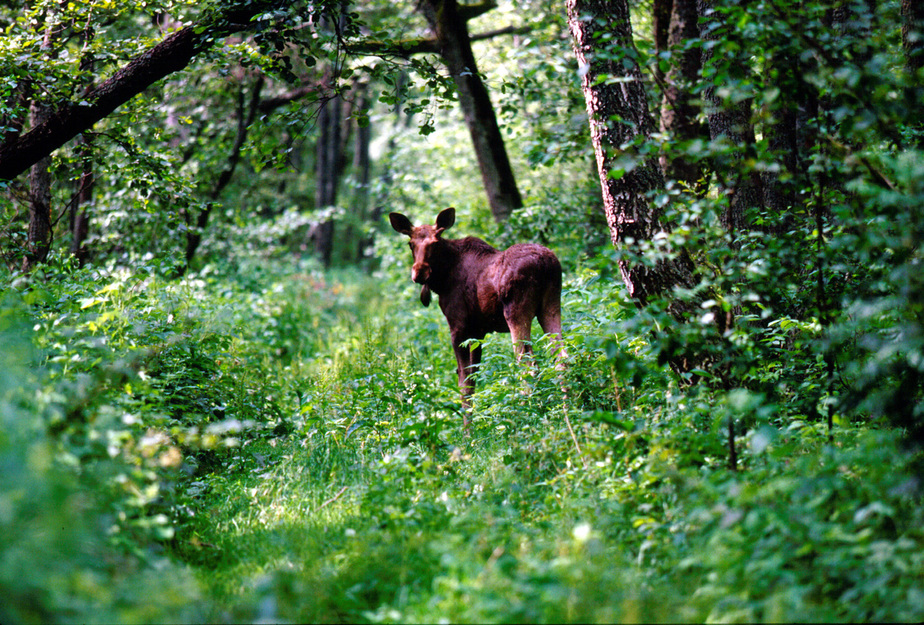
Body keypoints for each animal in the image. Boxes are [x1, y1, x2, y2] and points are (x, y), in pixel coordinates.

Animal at [390, 208, 564, 424]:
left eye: (435, 242)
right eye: (410, 243)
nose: (419, 272)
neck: (442, 280)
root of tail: (546, 265)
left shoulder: (458, 327)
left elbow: (464, 384)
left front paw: (467, 431)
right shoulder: (478, 332)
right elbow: (473, 380)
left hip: (516, 312)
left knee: (527, 365)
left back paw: (527, 415)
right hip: (551, 306)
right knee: (561, 357)